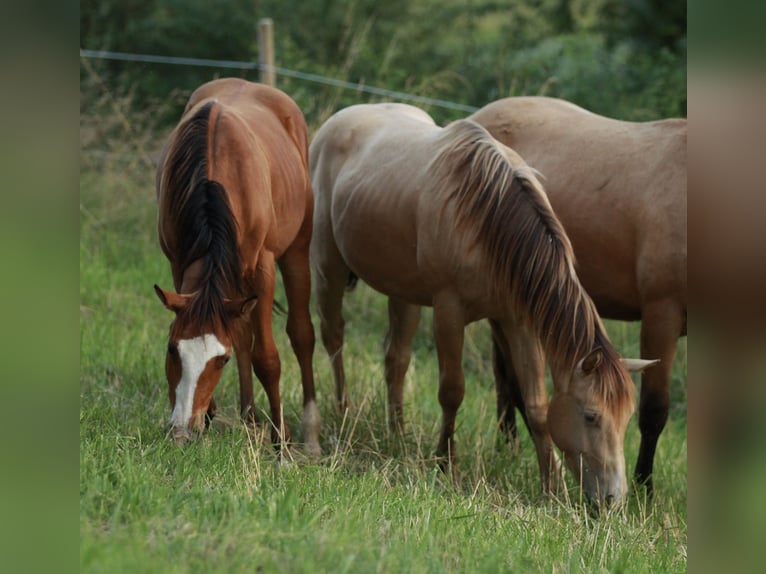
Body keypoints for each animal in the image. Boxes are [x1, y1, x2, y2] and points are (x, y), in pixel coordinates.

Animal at [154, 77, 322, 460]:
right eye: (172, 349)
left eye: (222, 361)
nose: (181, 430)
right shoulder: (180, 261)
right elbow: (241, 338)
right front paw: (210, 416)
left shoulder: (262, 268)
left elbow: (267, 358)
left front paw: (281, 442)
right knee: (243, 331)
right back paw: (248, 418)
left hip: (296, 250)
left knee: (302, 336)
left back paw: (310, 435)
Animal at [308, 104, 656, 508]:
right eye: (590, 416)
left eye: (626, 419)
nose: (613, 499)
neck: (489, 221)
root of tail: (338, 120)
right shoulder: (449, 309)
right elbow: (452, 391)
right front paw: (447, 465)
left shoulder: (519, 321)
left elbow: (537, 405)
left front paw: (551, 486)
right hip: (328, 268)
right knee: (334, 339)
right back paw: (344, 413)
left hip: (403, 291)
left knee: (396, 359)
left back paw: (398, 435)